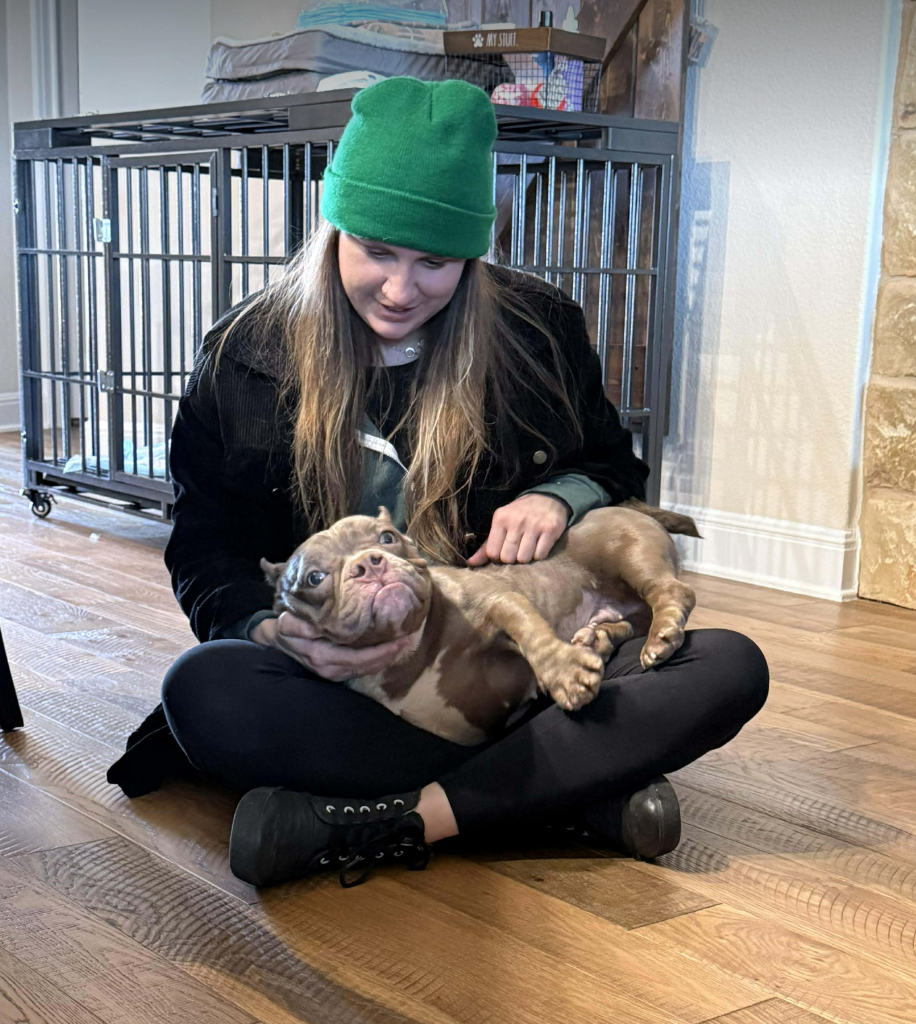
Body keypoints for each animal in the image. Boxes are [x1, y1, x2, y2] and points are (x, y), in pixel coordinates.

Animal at [260, 501, 699, 745]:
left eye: (387, 537)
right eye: (314, 578)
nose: (369, 563)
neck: (414, 648)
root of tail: (631, 508)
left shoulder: (498, 602)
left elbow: (531, 632)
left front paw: (564, 674)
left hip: (629, 556)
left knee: (673, 592)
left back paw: (659, 638)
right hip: (623, 604)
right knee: (626, 621)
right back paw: (597, 638)